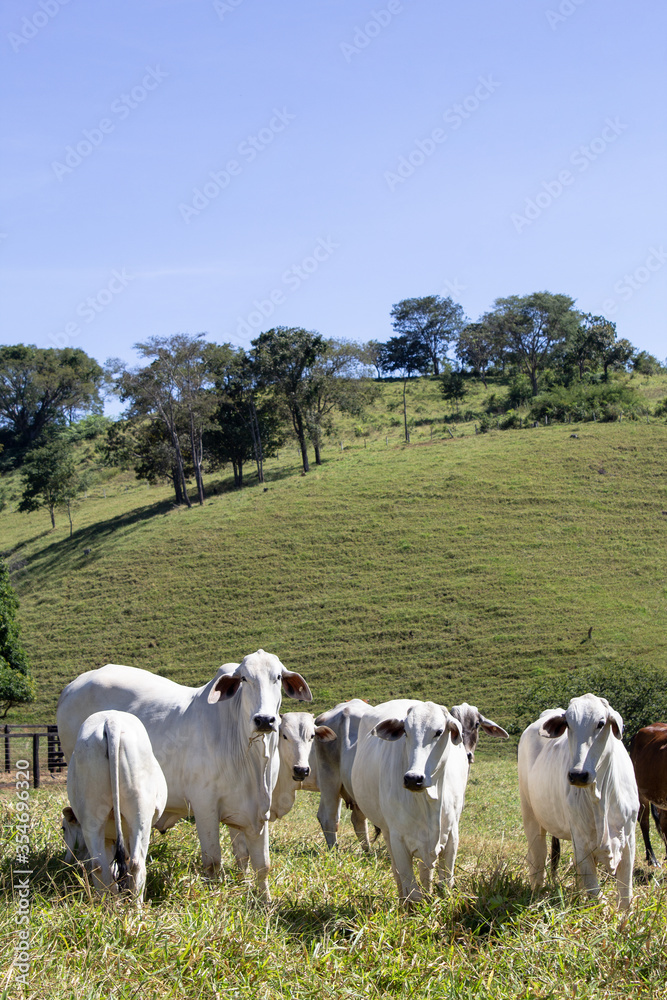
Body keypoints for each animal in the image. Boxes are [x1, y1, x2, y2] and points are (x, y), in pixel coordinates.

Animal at [61, 710, 168, 901]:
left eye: (63, 828)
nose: (68, 861)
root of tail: (111, 721)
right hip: (140, 818)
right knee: (135, 864)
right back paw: (135, 906)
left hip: (92, 818)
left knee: (100, 865)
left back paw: (109, 904)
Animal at [349, 699, 467, 903]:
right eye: (405, 731)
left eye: (439, 732)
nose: (413, 778)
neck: (428, 801)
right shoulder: (398, 840)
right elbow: (412, 890)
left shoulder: (452, 836)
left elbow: (446, 884)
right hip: (387, 831)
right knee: (398, 873)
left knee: (425, 871)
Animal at [518, 693, 638, 909]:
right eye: (568, 724)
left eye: (600, 723)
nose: (578, 775)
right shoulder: (581, 842)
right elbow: (595, 894)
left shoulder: (629, 838)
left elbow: (625, 894)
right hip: (530, 816)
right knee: (538, 859)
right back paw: (536, 894)